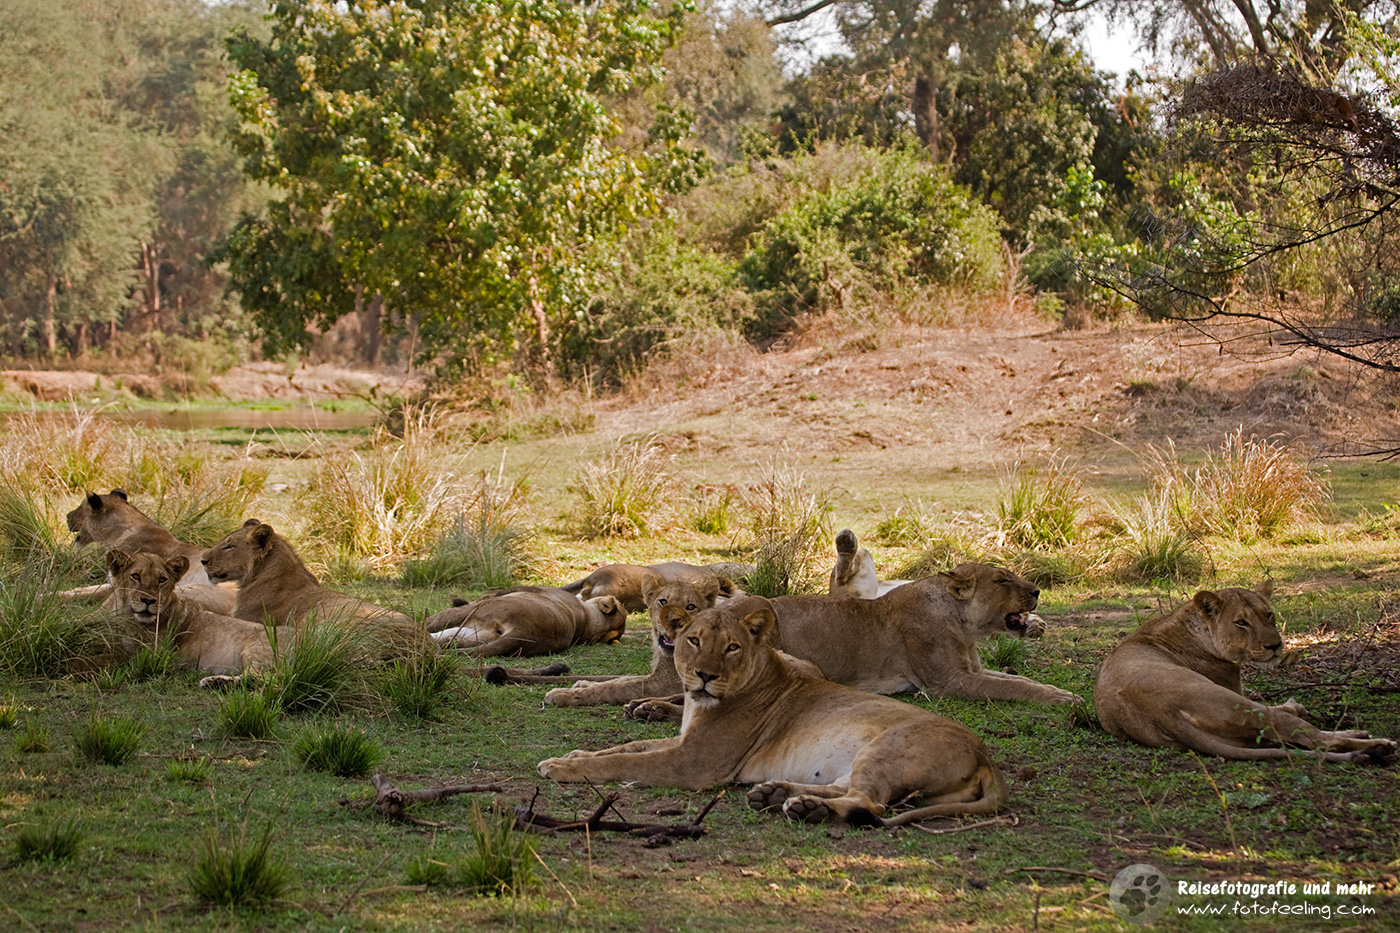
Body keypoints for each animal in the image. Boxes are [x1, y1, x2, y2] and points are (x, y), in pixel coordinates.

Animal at [106, 549, 284, 678]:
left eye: (162, 580)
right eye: (136, 576)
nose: (148, 600)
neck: (127, 617)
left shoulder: (145, 655)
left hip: (259, 650)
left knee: (263, 680)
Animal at [538, 596, 1008, 826]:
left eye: (732, 647)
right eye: (694, 640)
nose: (704, 676)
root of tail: (986, 757)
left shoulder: (692, 764)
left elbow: (620, 761)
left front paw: (561, 766)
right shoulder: (682, 742)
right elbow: (627, 747)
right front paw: (576, 755)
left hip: (888, 747)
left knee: (869, 803)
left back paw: (807, 809)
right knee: (848, 788)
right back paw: (778, 795)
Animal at [1095, 583, 1395, 762]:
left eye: (1268, 614)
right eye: (1241, 622)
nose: (1275, 646)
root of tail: (1161, 712)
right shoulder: (1234, 688)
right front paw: (1296, 706)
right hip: (1234, 705)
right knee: (1312, 738)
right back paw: (1376, 745)